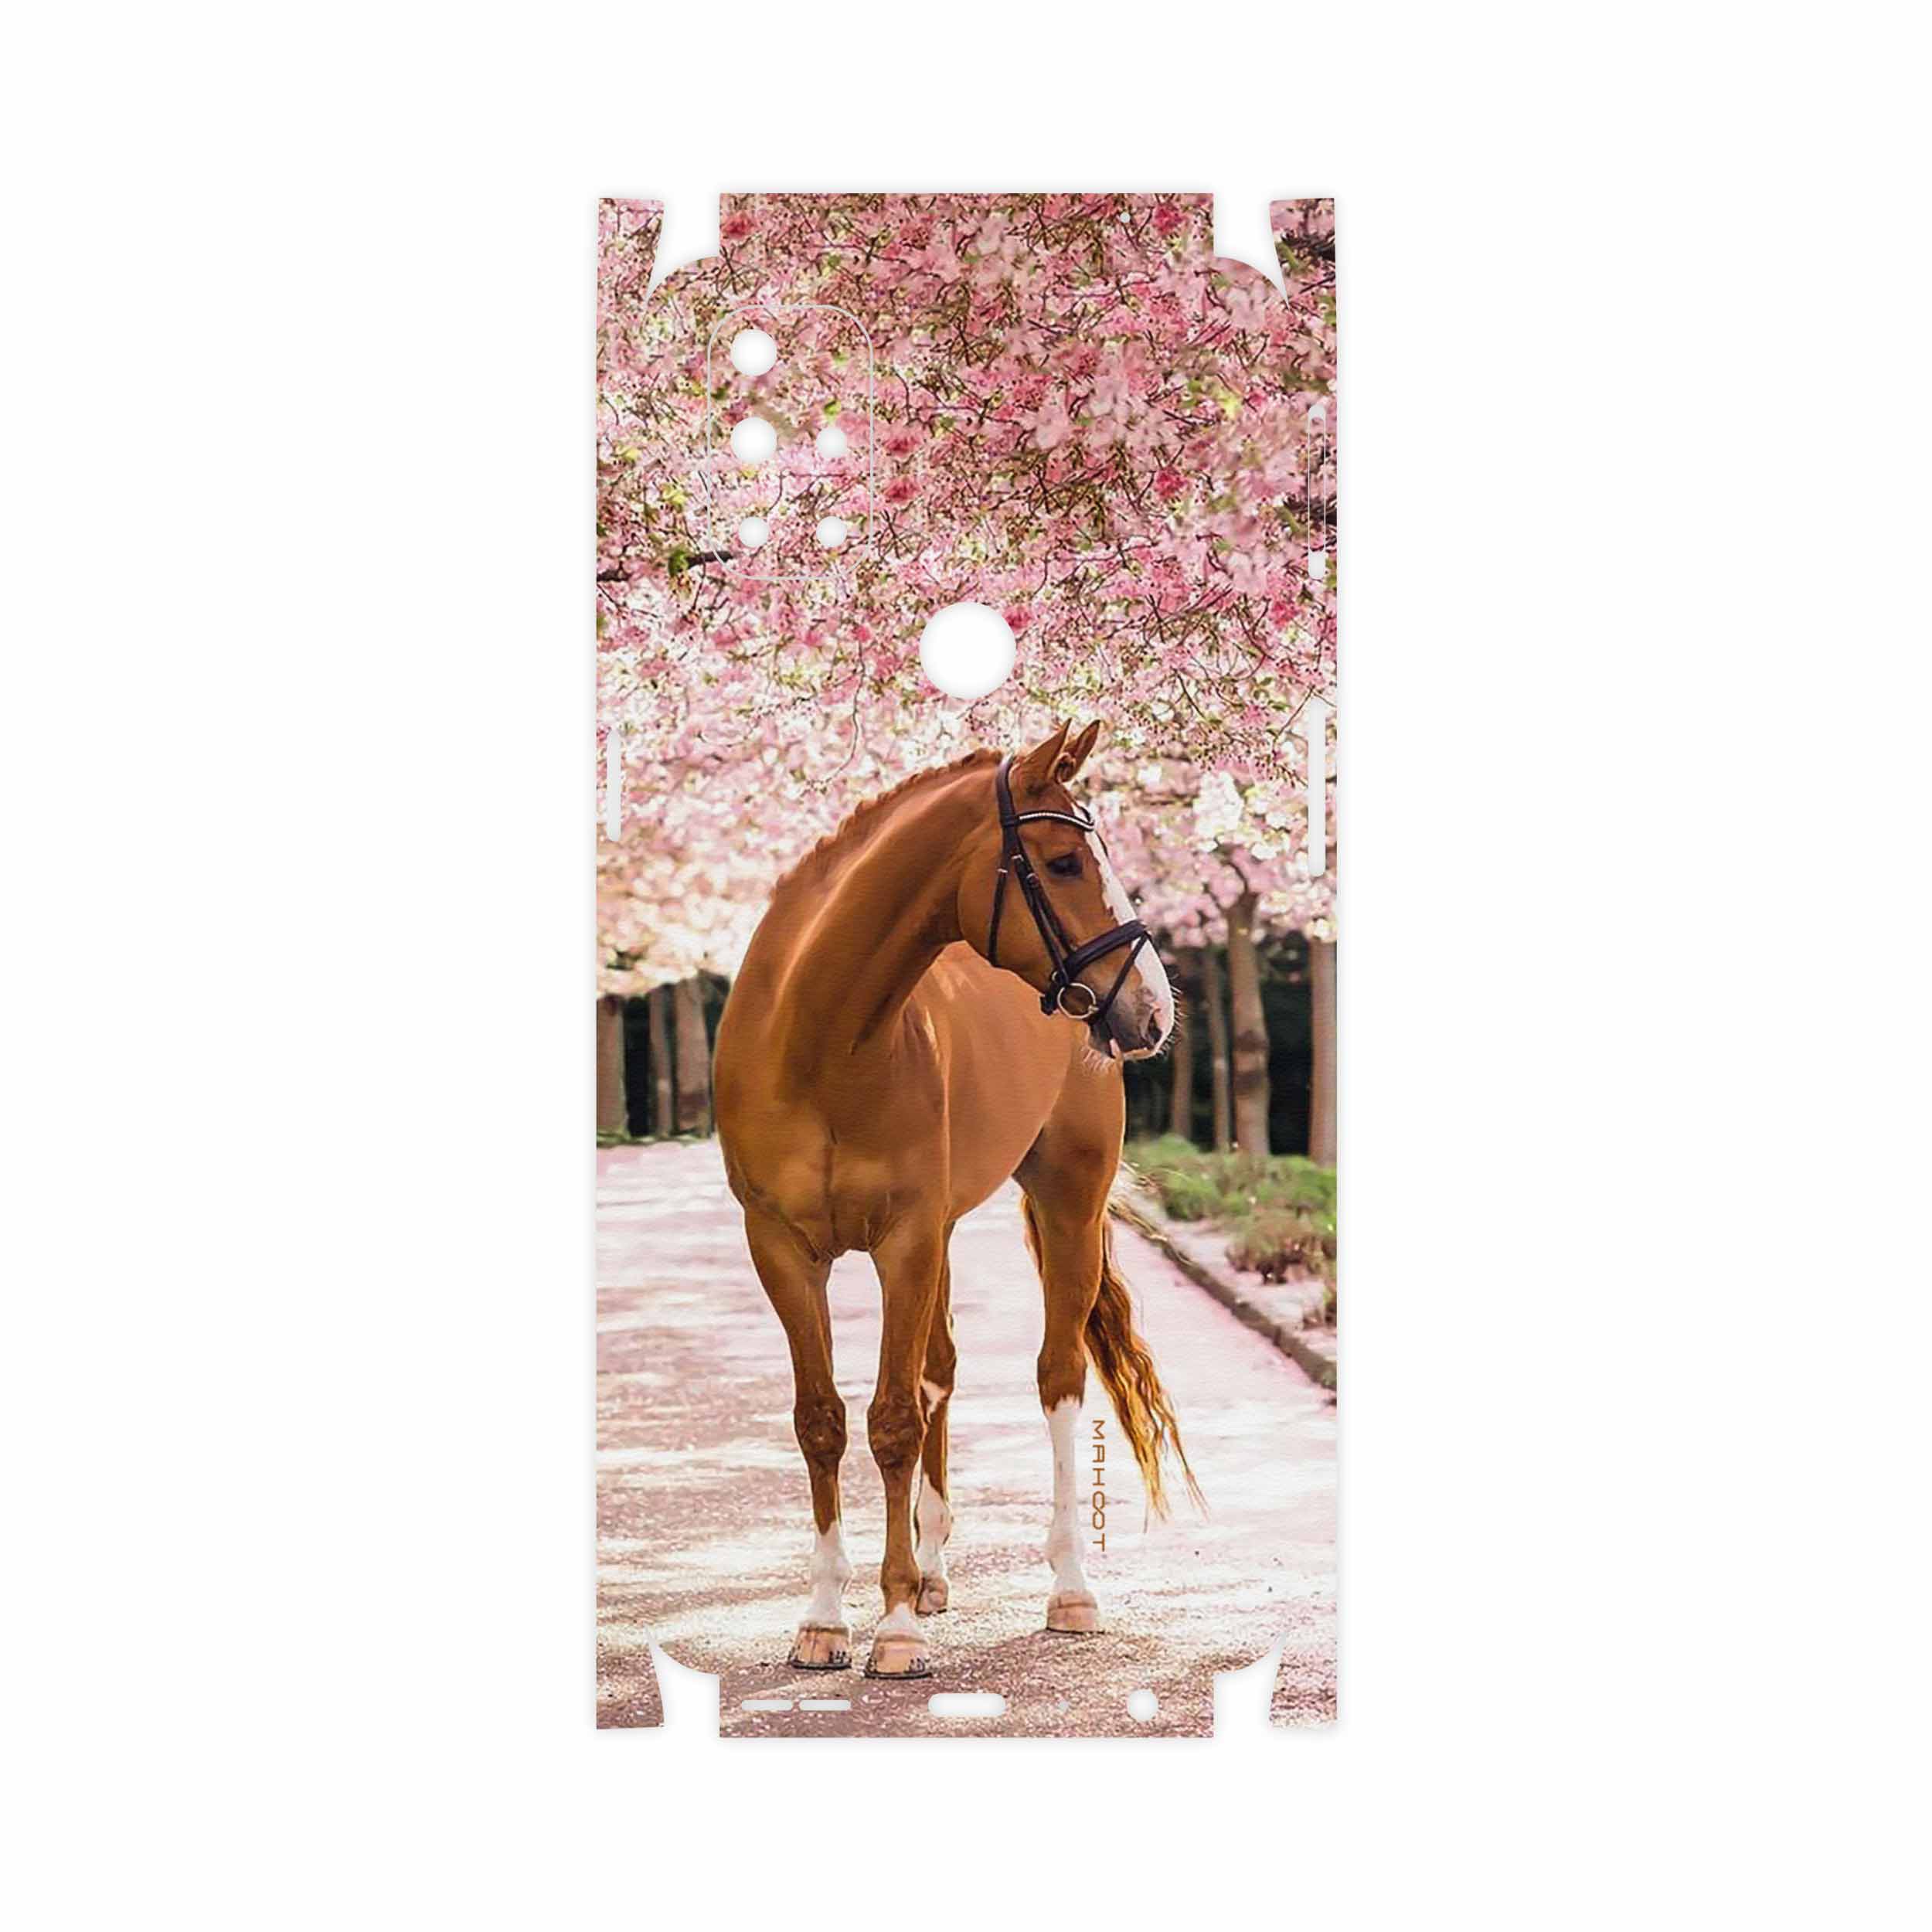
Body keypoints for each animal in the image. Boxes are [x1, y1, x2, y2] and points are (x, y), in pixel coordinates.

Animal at [713, 719, 1196, 1679]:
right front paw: (824, 1619)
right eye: (1062, 862)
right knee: (940, 1370)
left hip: (1065, 1203)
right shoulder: (782, 1248)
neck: (818, 1040)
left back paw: (1067, 1589)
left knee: (1056, 1377)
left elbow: (893, 1419)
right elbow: (822, 1420)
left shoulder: (903, 1239)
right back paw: (933, 1572)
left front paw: (893, 1628)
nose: (1154, 1010)